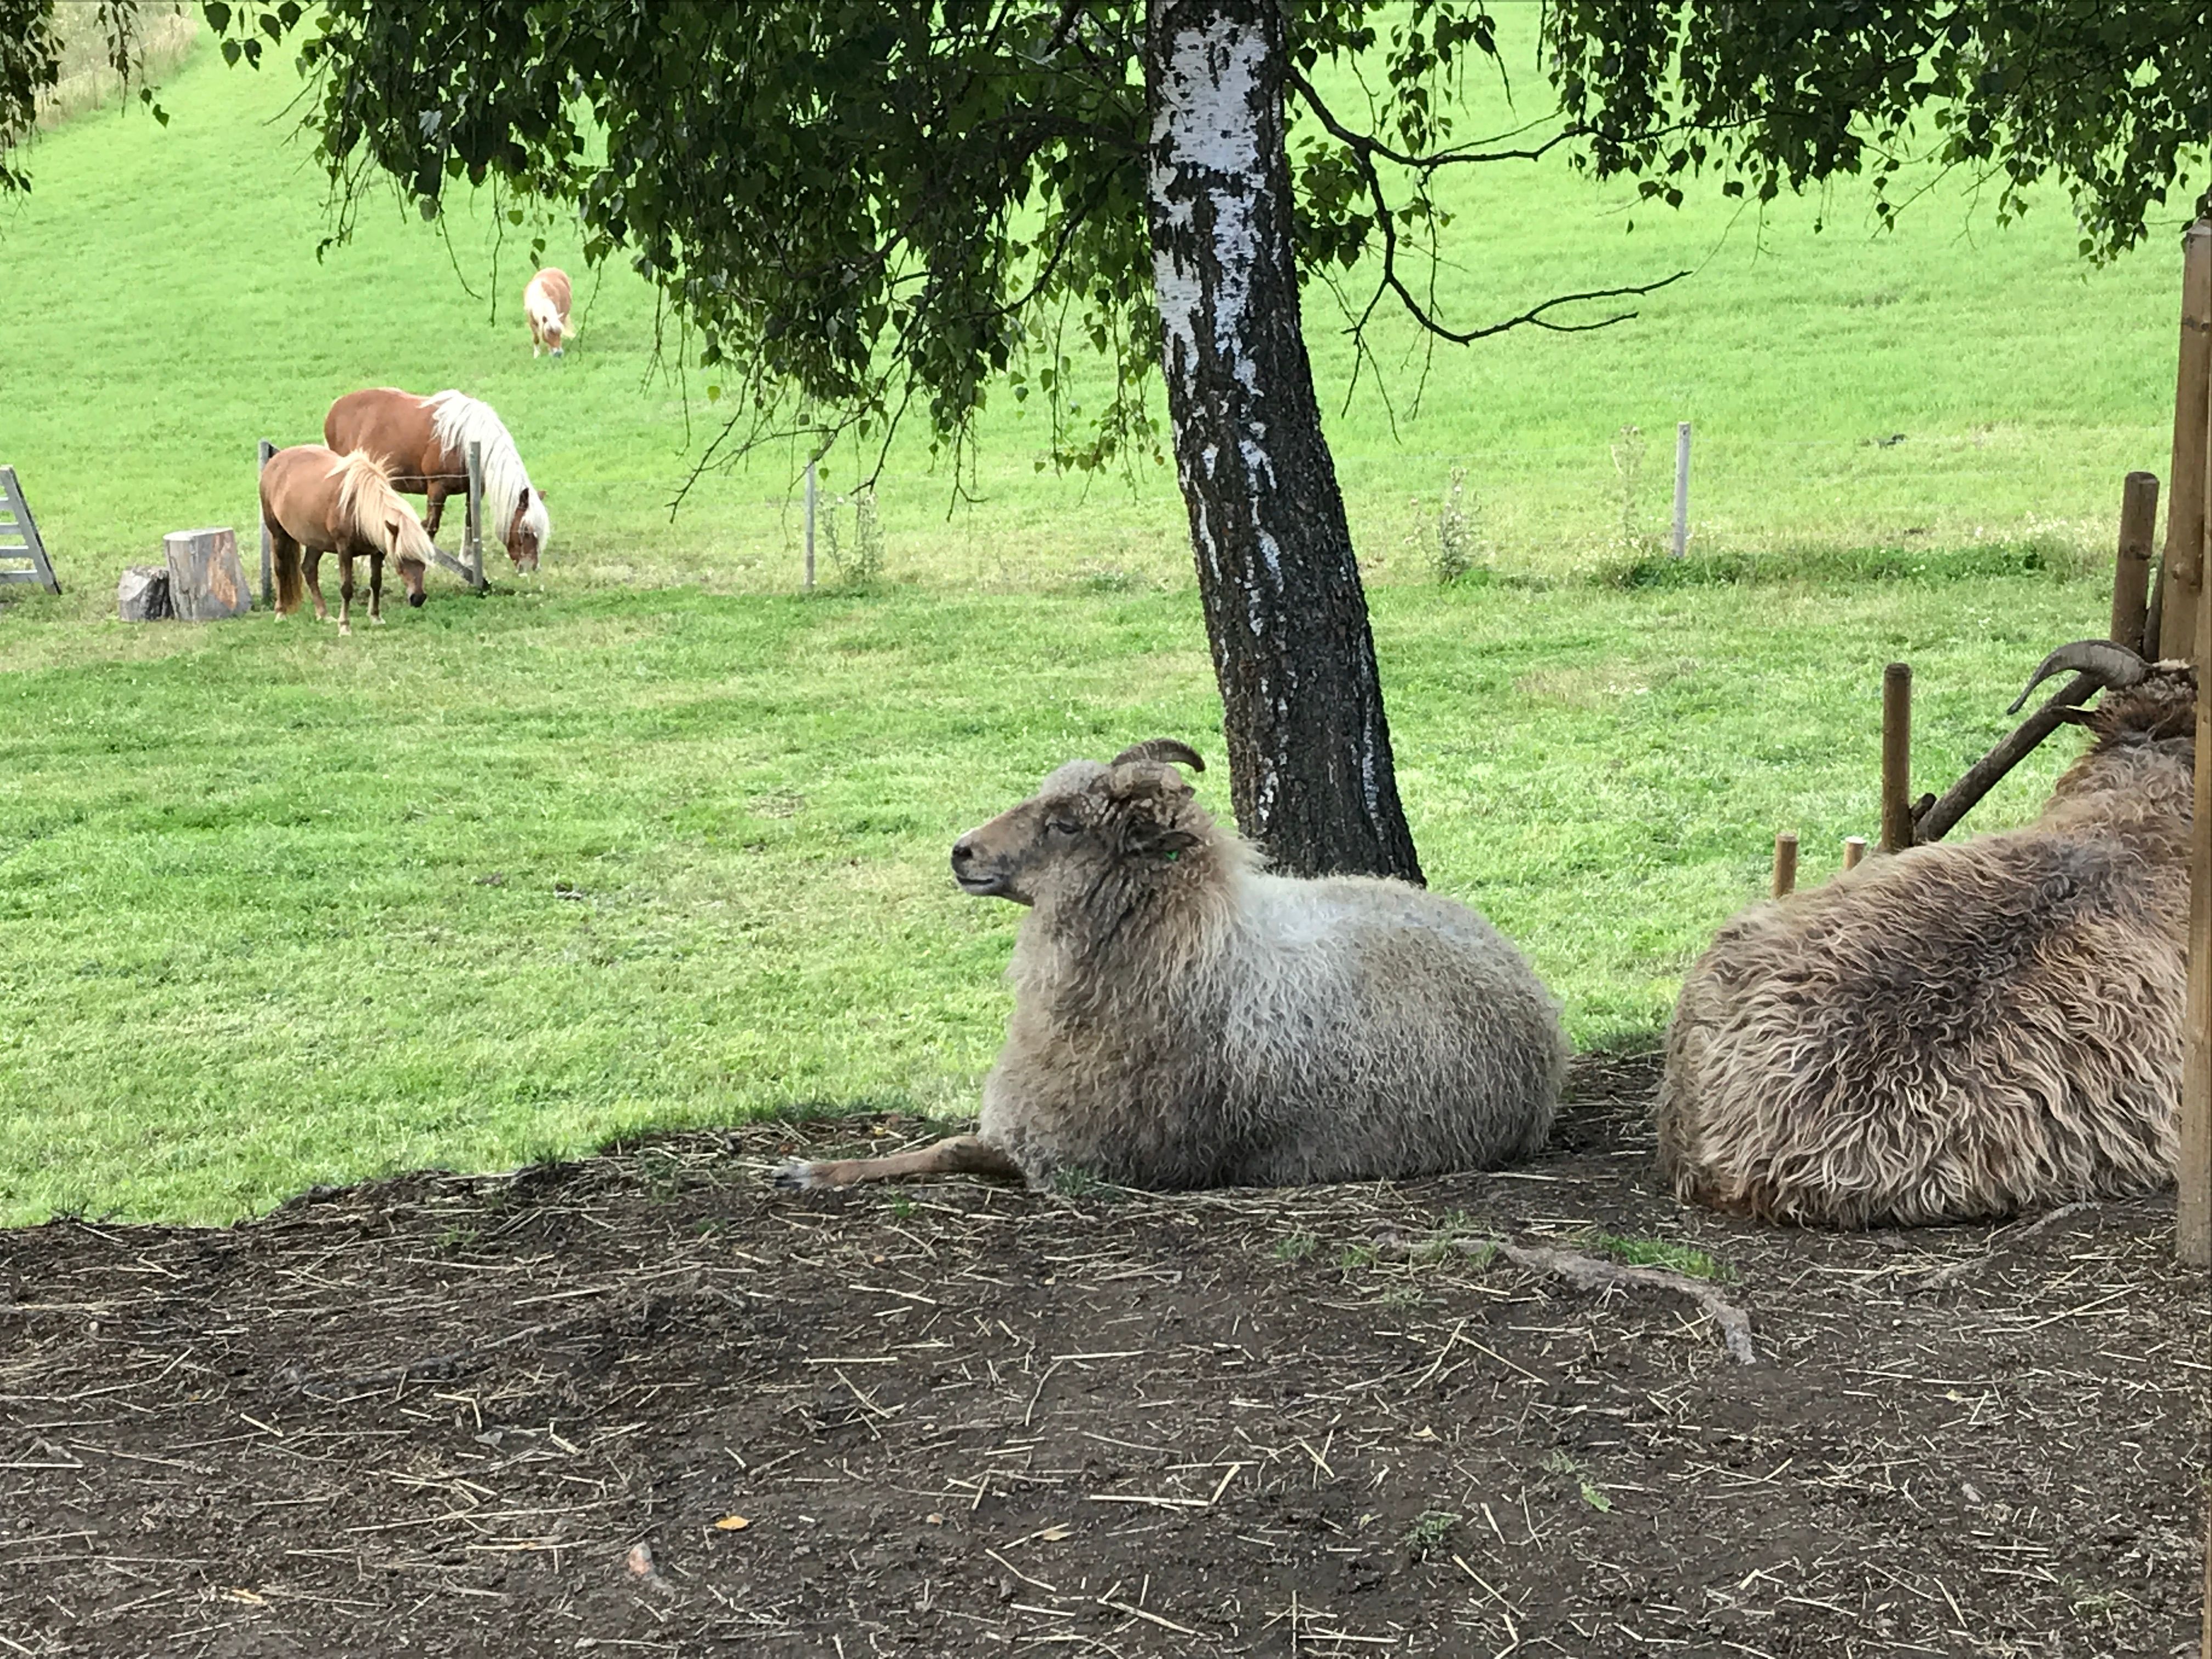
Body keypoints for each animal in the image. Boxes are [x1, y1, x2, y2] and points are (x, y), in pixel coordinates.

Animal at [260, 446, 435, 636]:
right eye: (401, 559)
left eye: (425, 560)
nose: (418, 598)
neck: (358, 509)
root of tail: (275, 460)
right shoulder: (344, 550)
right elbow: (346, 588)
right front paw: (344, 626)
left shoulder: (378, 552)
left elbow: (376, 583)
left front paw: (376, 617)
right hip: (278, 534)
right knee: (280, 571)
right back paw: (281, 613)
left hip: (316, 542)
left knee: (309, 569)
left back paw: (324, 614)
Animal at [323, 387, 551, 572]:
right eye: (526, 530)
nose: (530, 568)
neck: (465, 440)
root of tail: (335, 408)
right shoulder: (437, 488)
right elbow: (431, 526)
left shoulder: (473, 489)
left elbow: (470, 523)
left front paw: (467, 559)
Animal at [524, 266, 572, 356]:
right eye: (549, 333)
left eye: (559, 333)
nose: (559, 353)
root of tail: (552, 268)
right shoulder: (532, 322)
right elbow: (536, 338)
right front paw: (537, 354)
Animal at [777, 739, 1568, 1191]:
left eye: (1066, 824)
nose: (961, 851)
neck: (1180, 949)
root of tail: (1536, 994)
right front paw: (821, 1166)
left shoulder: (1083, 1154)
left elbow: (945, 1151)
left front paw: (811, 1170)